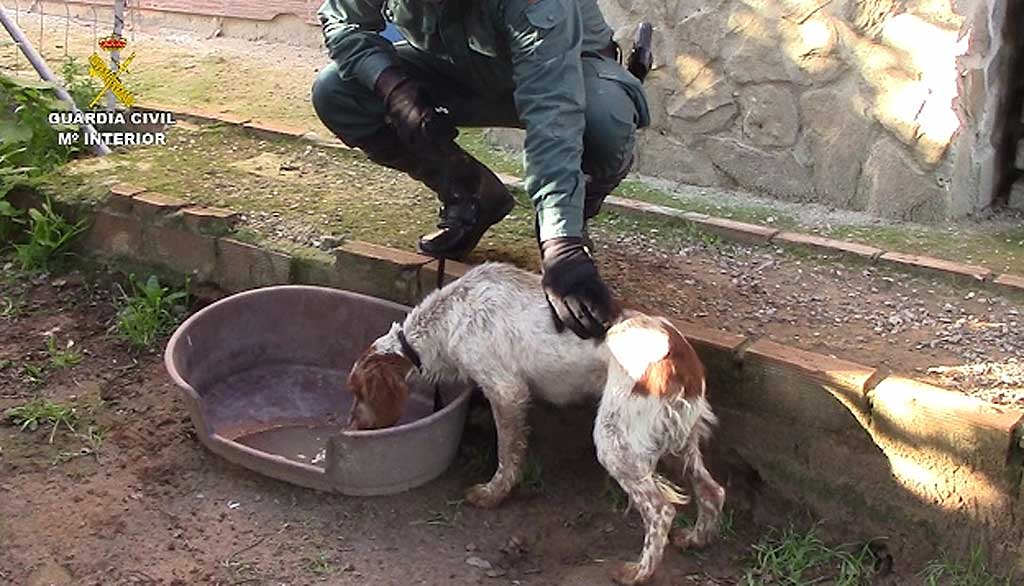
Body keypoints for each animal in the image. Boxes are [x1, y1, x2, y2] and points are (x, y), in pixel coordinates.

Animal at [348, 262, 724, 581]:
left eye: (357, 393)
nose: (352, 428)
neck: (450, 316)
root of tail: (684, 359)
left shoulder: (506, 390)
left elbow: (506, 454)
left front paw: (493, 494)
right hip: (677, 443)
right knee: (712, 491)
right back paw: (696, 538)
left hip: (616, 442)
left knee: (661, 510)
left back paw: (638, 572)